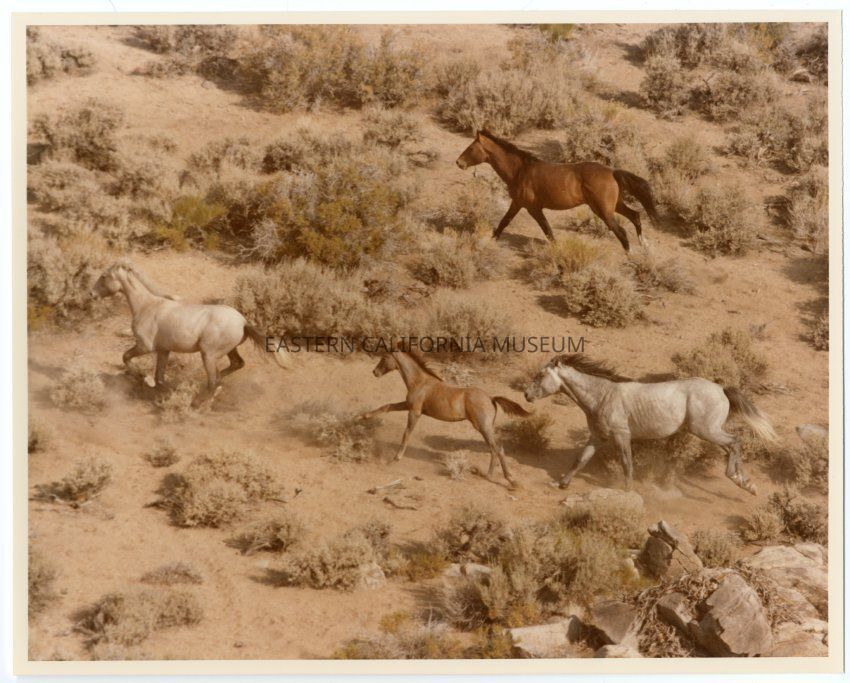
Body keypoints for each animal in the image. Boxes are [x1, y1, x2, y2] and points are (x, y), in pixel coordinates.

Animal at [90, 263, 288, 401]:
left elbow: (126, 357)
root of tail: (243, 321)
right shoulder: (163, 350)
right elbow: (159, 378)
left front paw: (142, 377)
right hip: (228, 351)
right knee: (234, 366)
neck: (146, 306)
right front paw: (162, 391)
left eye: (104, 276)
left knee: (213, 381)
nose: (92, 294)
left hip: (208, 355)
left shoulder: (145, 347)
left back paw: (198, 403)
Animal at [360, 347, 532, 488]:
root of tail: (491, 398)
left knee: (496, 448)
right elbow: (386, 406)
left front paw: (394, 459)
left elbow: (406, 434)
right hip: (486, 427)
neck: (419, 381)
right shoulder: (409, 405)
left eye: (384, 357)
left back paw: (500, 478)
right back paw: (501, 478)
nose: (375, 372)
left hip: (482, 426)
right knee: (497, 448)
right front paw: (362, 417)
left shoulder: (415, 412)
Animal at [455, 129, 659, 252]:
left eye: (471, 148)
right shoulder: (522, 205)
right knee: (635, 216)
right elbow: (510, 223)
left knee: (622, 232)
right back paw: (645, 246)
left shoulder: (529, 206)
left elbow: (543, 229)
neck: (520, 171)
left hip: (603, 210)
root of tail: (612, 172)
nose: (459, 163)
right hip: (614, 205)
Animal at [523, 354, 778, 495]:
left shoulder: (621, 435)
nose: (526, 394)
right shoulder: (597, 437)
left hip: (706, 430)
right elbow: (580, 459)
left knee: (735, 442)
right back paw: (745, 483)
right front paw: (561, 484)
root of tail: (721, 388)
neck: (602, 395)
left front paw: (627, 490)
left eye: (540, 375)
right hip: (708, 431)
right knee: (732, 446)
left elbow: (627, 464)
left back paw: (738, 479)